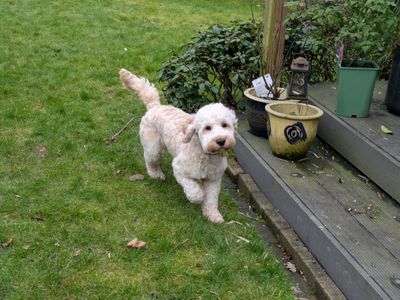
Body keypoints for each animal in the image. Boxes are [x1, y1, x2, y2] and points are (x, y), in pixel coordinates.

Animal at [120, 68, 236, 223]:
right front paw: (200, 196)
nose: (221, 141)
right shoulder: (180, 170)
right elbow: (194, 192)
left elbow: (211, 199)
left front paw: (213, 215)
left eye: (225, 125)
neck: (204, 153)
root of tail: (155, 106)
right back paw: (155, 173)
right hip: (153, 148)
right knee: (149, 159)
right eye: (207, 128)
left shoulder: (214, 179)